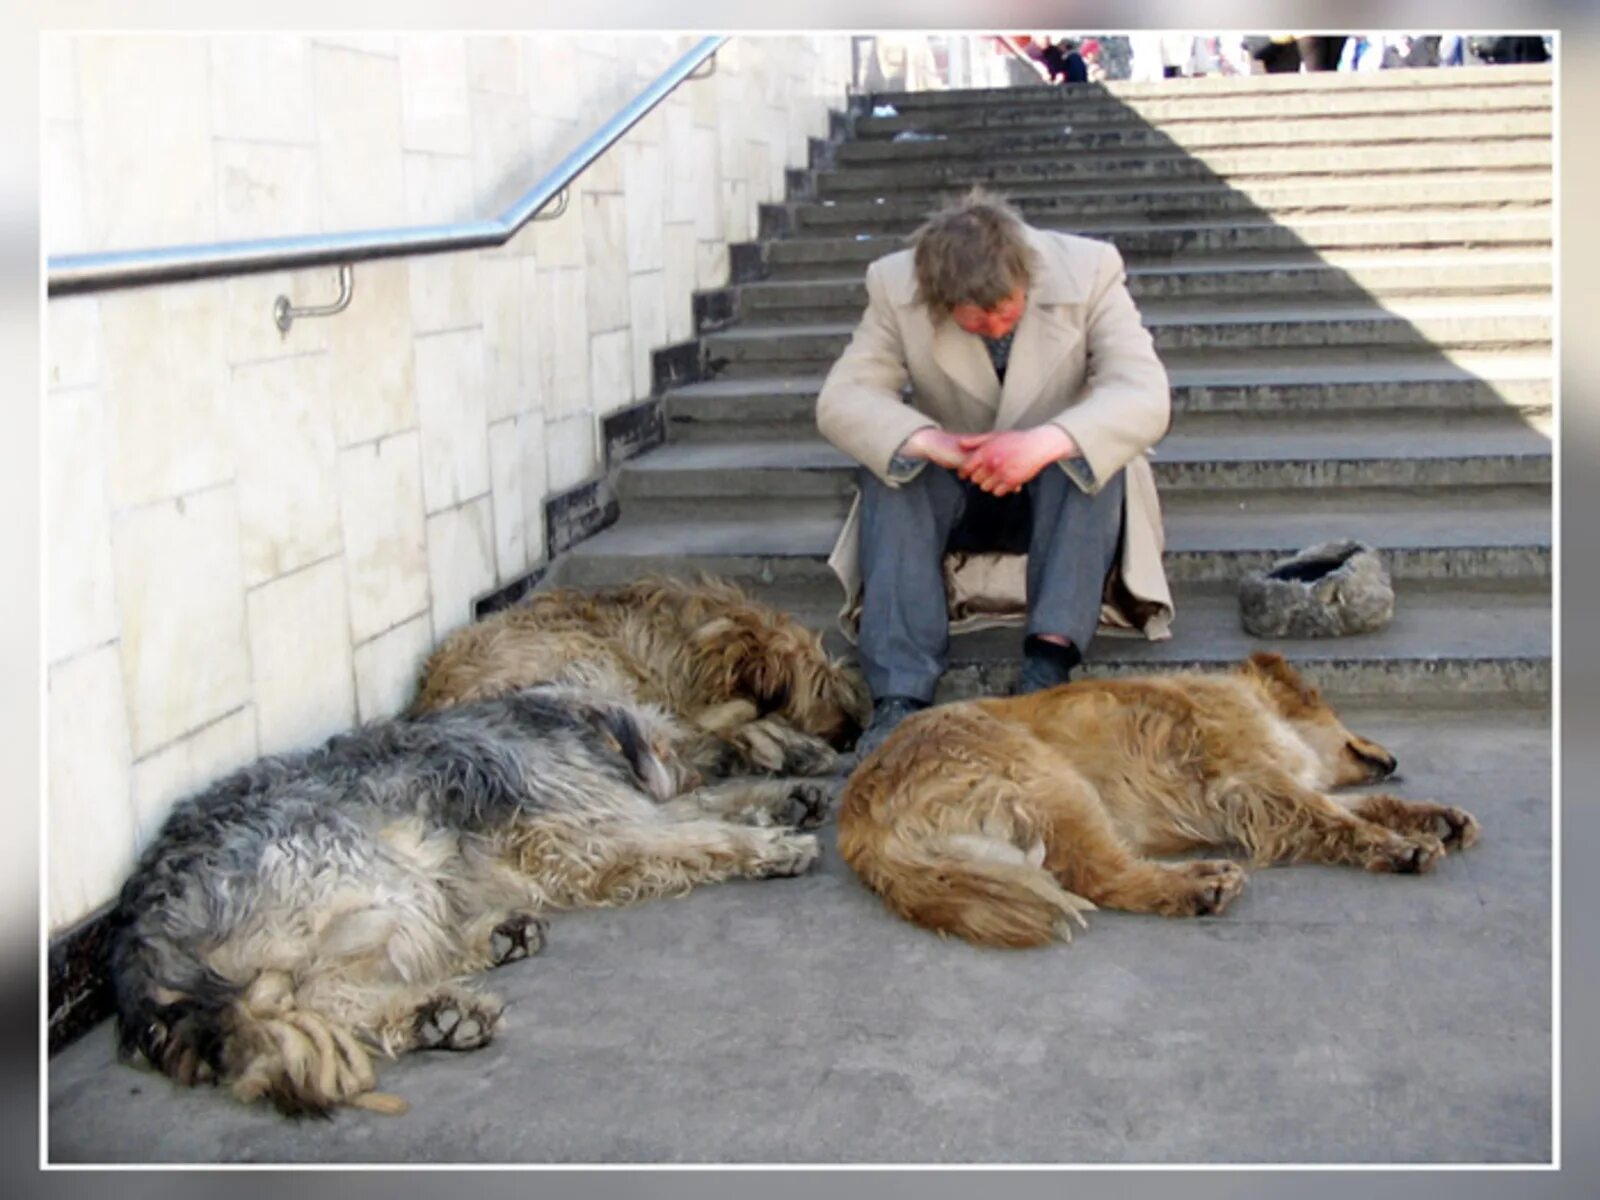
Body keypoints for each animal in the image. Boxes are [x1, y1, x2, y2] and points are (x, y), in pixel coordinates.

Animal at [111, 684, 825, 1120]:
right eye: (667, 742)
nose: (717, 757)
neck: (564, 722)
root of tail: (140, 933)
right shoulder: (591, 830)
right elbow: (693, 831)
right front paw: (767, 843)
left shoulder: (605, 818)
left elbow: (694, 811)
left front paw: (779, 798)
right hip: (371, 878)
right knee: (322, 995)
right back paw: (438, 1012)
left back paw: (491, 946)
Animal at [844, 659, 1478, 947]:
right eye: (1338, 711)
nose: (1393, 757)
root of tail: (858, 818)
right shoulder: (1254, 780)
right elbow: (1335, 816)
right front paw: (1402, 847)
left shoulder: (1267, 792)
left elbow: (1355, 807)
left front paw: (1435, 817)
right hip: (1057, 783)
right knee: (1103, 877)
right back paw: (1199, 886)